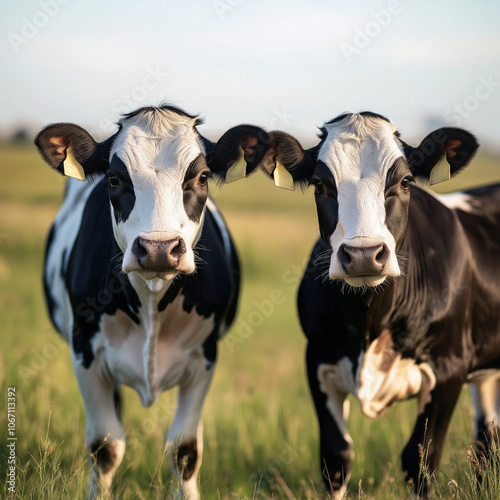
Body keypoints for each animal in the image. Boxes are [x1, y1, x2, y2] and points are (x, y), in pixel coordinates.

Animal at [34, 103, 270, 498]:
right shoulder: (85, 354)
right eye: (113, 179)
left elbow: (184, 450)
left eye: (202, 176)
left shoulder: (204, 357)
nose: (159, 248)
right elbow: (105, 447)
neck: (152, 302)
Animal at [258, 111, 500, 498]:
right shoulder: (317, 359)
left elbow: (420, 459)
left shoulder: (450, 367)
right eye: (320, 185)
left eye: (405, 181)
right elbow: (335, 457)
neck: (370, 320)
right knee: (487, 440)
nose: (363, 255)